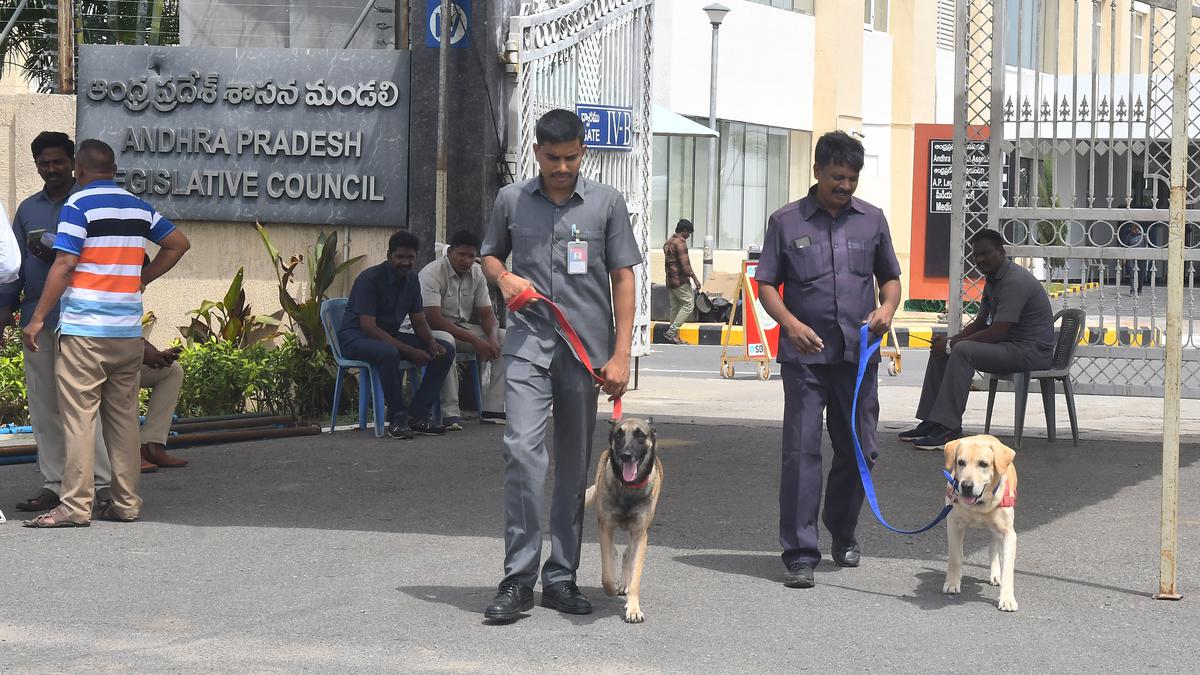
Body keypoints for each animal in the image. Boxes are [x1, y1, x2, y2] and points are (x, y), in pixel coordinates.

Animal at [583, 417, 662, 624]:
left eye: (640, 435)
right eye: (618, 434)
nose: (626, 455)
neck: (628, 488)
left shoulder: (641, 533)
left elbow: (635, 577)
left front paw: (633, 608)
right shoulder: (605, 527)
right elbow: (607, 574)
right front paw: (611, 589)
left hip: (636, 536)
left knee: (628, 555)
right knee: (616, 553)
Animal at [940, 429, 1017, 610]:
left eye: (983, 464)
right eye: (960, 462)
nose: (966, 486)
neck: (979, 505)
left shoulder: (1009, 533)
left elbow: (1008, 568)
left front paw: (1007, 598)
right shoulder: (953, 524)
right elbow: (954, 557)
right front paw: (952, 582)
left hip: (997, 530)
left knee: (993, 548)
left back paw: (996, 575)